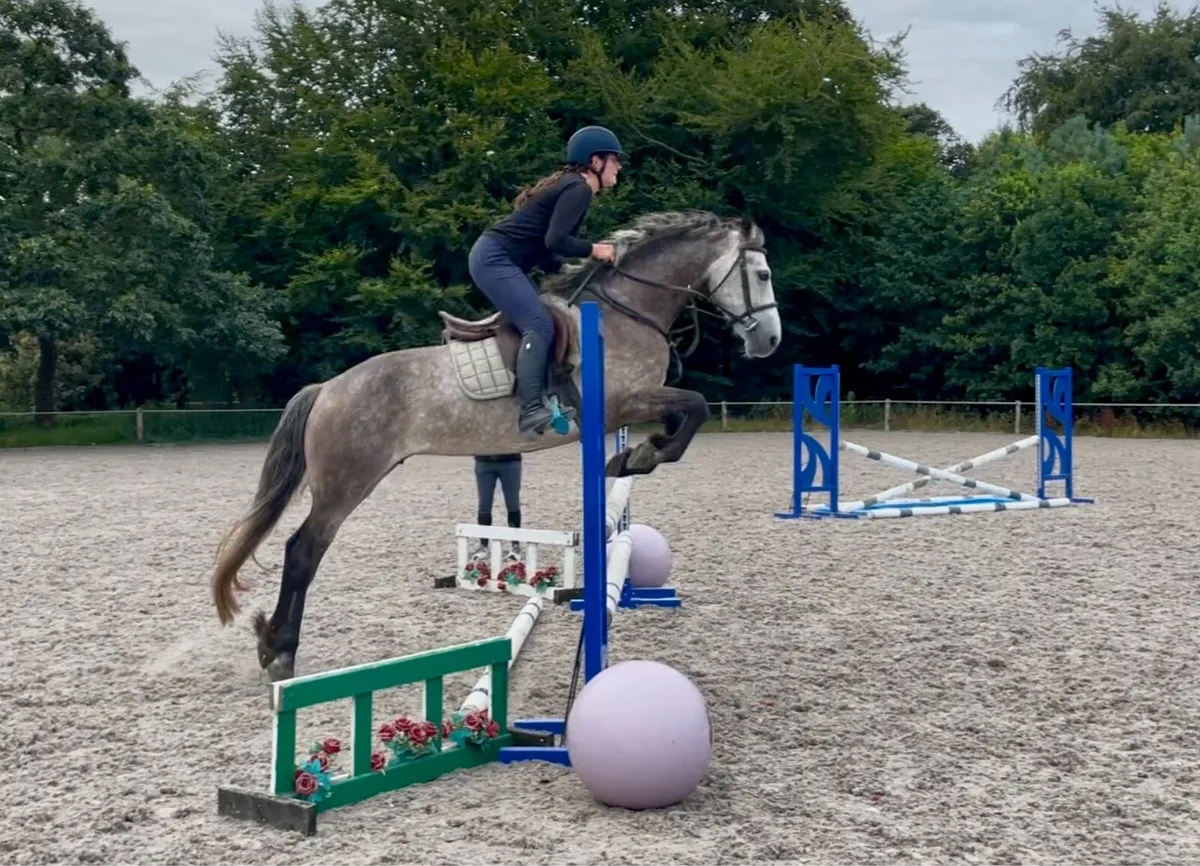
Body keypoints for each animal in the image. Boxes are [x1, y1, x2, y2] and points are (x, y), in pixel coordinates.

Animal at [209, 209, 784, 682]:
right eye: (762, 275)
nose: (770, 342)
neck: (627, 310)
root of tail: (327, 388)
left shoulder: (633, 406)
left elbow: (686, 414)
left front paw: (637, 454)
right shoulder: (624, 402)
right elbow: (696, 407)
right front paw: (639, 456)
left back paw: (271, 644)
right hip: (345, 482)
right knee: (303, 550)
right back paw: (280, 651)